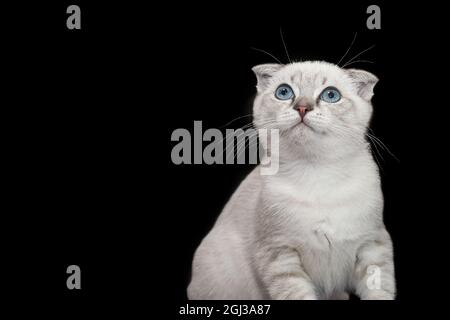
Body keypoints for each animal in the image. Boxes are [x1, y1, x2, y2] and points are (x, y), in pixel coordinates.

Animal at [188, 60, 396, 300]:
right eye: (284, 92)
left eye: (331, 95)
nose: (302, 107)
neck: (317, 173)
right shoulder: (279, 254)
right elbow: (298, 295)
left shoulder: (373, 244)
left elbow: (379, 288)